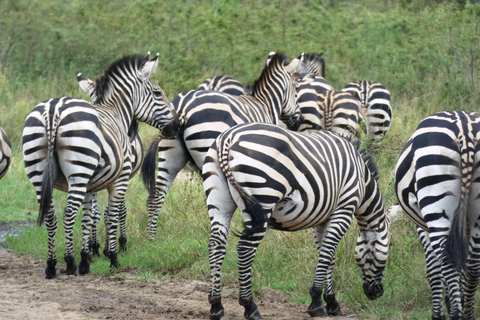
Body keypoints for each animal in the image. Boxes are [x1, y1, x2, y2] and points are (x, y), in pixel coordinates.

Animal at [22, 52, 180, 278]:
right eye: (157, 93)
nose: (177, 125)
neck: (116, 112)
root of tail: (54, 109)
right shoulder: (120, 178)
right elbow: (112, 214)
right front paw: (112, 257)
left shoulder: (91, 185)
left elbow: (89, 216)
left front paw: (86, 258)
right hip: (78, 171)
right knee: (69, 213)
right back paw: (69, 263)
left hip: (37, 171)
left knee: (51, 215)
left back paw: (51, 265)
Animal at [141, 51, 304, 239]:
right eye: (296, 91)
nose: (299, 122)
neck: (266, 104)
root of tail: (183, 107)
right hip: (208, 152)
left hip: (170, 153)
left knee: (157, 196)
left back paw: (151, 238)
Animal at [202, 123, 398, 320]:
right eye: (389, 245)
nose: (376, 293)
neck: (363, 182)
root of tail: (227, 138)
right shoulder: (344, 208)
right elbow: (328, 253)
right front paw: (317, 302)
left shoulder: (322, 218)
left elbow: (327, 256)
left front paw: (331, 302)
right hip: (264, 197)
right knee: (245, 248)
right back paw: (250, 306)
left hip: (218, 198)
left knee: (216, 245)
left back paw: (216, 305)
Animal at [394, 110, 480, 320]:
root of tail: (464, 129)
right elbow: (463, 268)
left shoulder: (422, 226)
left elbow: (434, 271)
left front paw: (438, 313)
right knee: (473, 265)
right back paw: (466, 313)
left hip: (435, 202)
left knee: (447, 262)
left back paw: (456, 313)